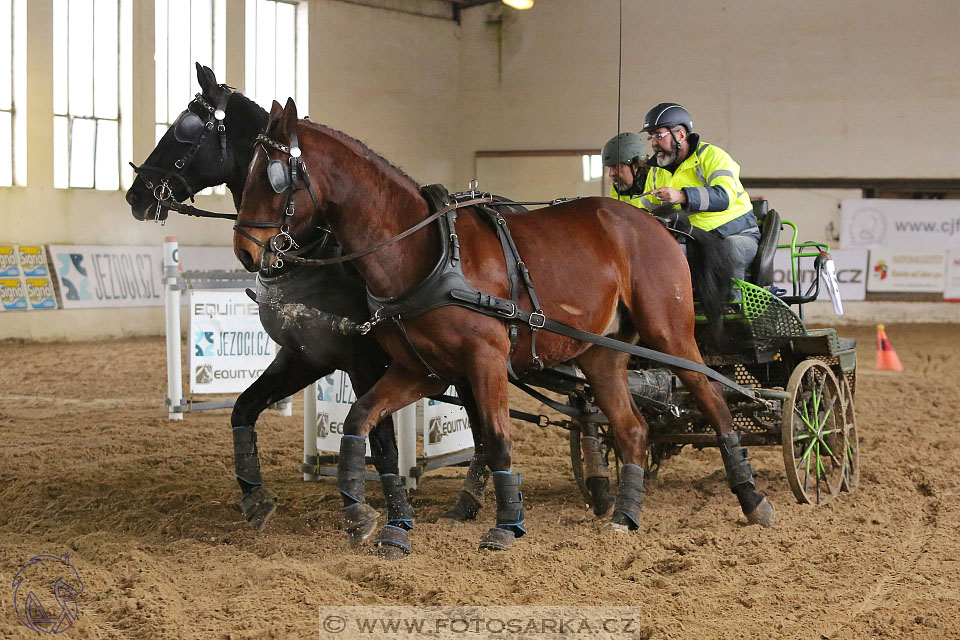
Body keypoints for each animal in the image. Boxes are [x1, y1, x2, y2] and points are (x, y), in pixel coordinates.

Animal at [125, 62, 496, 556]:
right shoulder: (304, 356)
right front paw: (256, 498)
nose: (136, 194)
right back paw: (469, 500)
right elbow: (243, 408)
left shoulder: (364, 360)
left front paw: (379, 513)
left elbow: (380, 440)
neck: (320, 249)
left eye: (184, 133)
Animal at [234, 99, 780, 552]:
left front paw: (507, 524)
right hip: (602, 353)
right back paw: (624, 515)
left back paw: (753, 498)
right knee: (632, 427)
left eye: (274, 176)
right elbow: (360, 419)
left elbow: (496, 438)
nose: (244, 251)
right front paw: (366, 517)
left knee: (714, 402)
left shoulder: (484, 362)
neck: (424, 251)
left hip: (671, 335)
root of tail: (656, 222)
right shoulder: (421, 371)